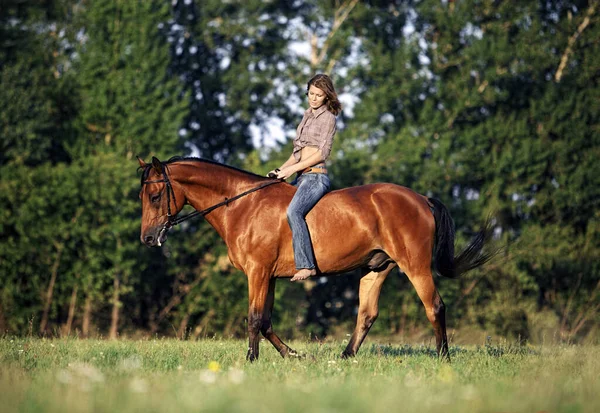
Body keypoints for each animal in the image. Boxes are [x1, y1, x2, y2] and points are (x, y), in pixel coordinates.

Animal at [138, 157, 494, 360]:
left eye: (155, 196)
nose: (147, 238)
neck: (242, 205)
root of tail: (421, 199)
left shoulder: (257, 272)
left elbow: (254, 318)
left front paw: (251, 360)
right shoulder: (268, 276)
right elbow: (265, 321)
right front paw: (294, 355)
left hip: (415, 265)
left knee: (435, 307)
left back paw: (443, 358)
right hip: (376, 268)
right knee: (367, 314)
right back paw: (345, 357)